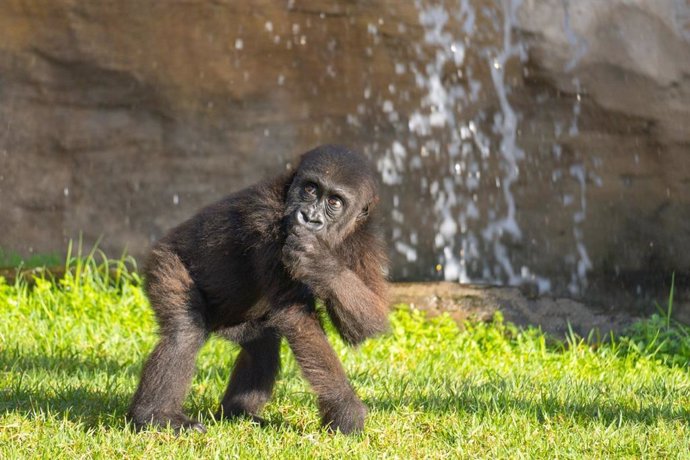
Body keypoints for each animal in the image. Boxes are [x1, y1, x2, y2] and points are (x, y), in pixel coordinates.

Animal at [127, 145, 388, 434]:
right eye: (310, 189)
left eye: (335, 202)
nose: (309, 218)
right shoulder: (265, 220)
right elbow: (298, 319)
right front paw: (345, 409)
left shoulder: (365, 240)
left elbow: (368, 324)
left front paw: (319, 261)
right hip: (165, 261)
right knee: (184, 332)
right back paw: (154, 416)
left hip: (235, 322)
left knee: (262, 345)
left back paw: (238, 413)